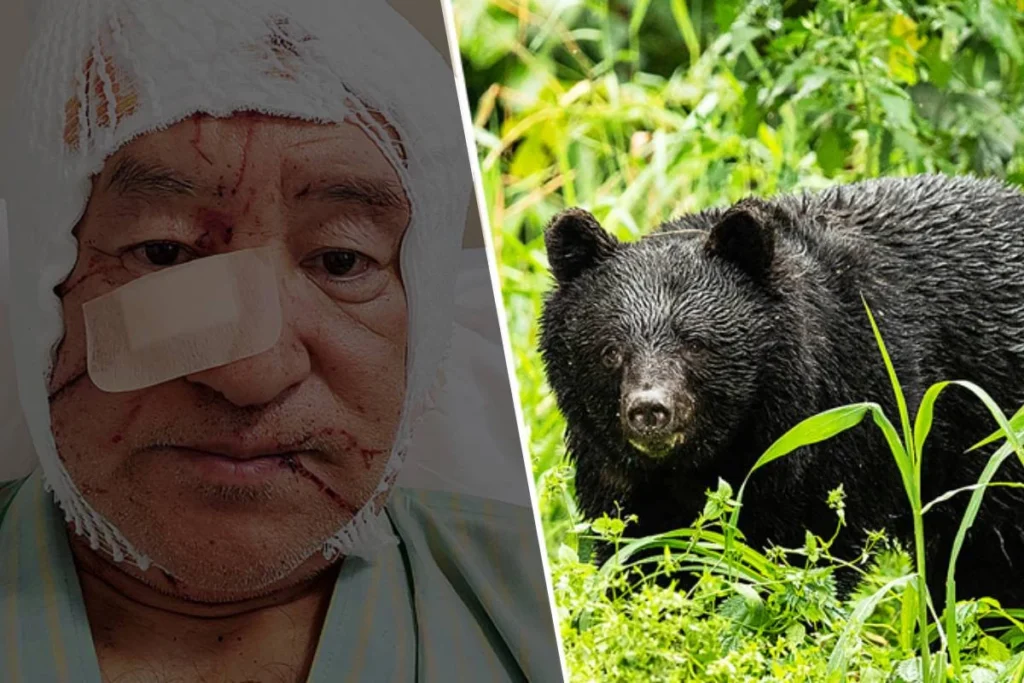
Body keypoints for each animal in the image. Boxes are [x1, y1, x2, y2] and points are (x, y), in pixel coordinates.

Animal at [538, 173, 1024, 608]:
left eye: (696, 343)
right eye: (610, 351)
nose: (650, 410)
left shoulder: (850, 430)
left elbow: (809, 554)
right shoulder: (622, 476)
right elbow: (641, 549)